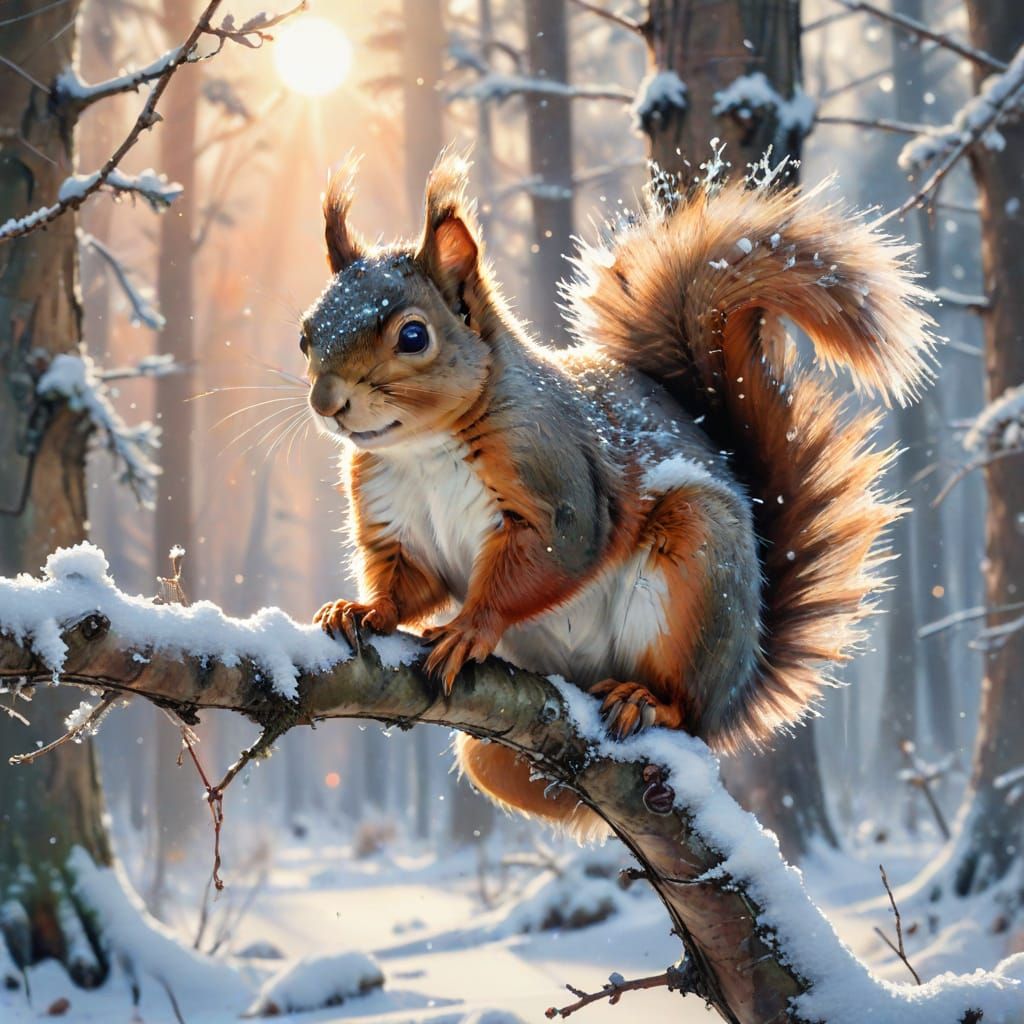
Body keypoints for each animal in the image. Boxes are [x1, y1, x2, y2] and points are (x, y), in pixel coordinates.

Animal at [302, 152, 934, 836]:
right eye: (307, 334)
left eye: (414, 337)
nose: (326, 402)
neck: (421, 450)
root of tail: (737, 688)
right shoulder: (392, 520)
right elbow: (407, 581)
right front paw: (365, 611)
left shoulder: (556, 481)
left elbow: (551, 557)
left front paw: (470, 627)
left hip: (698, 572)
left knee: (686, 704)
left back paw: (646, 700)